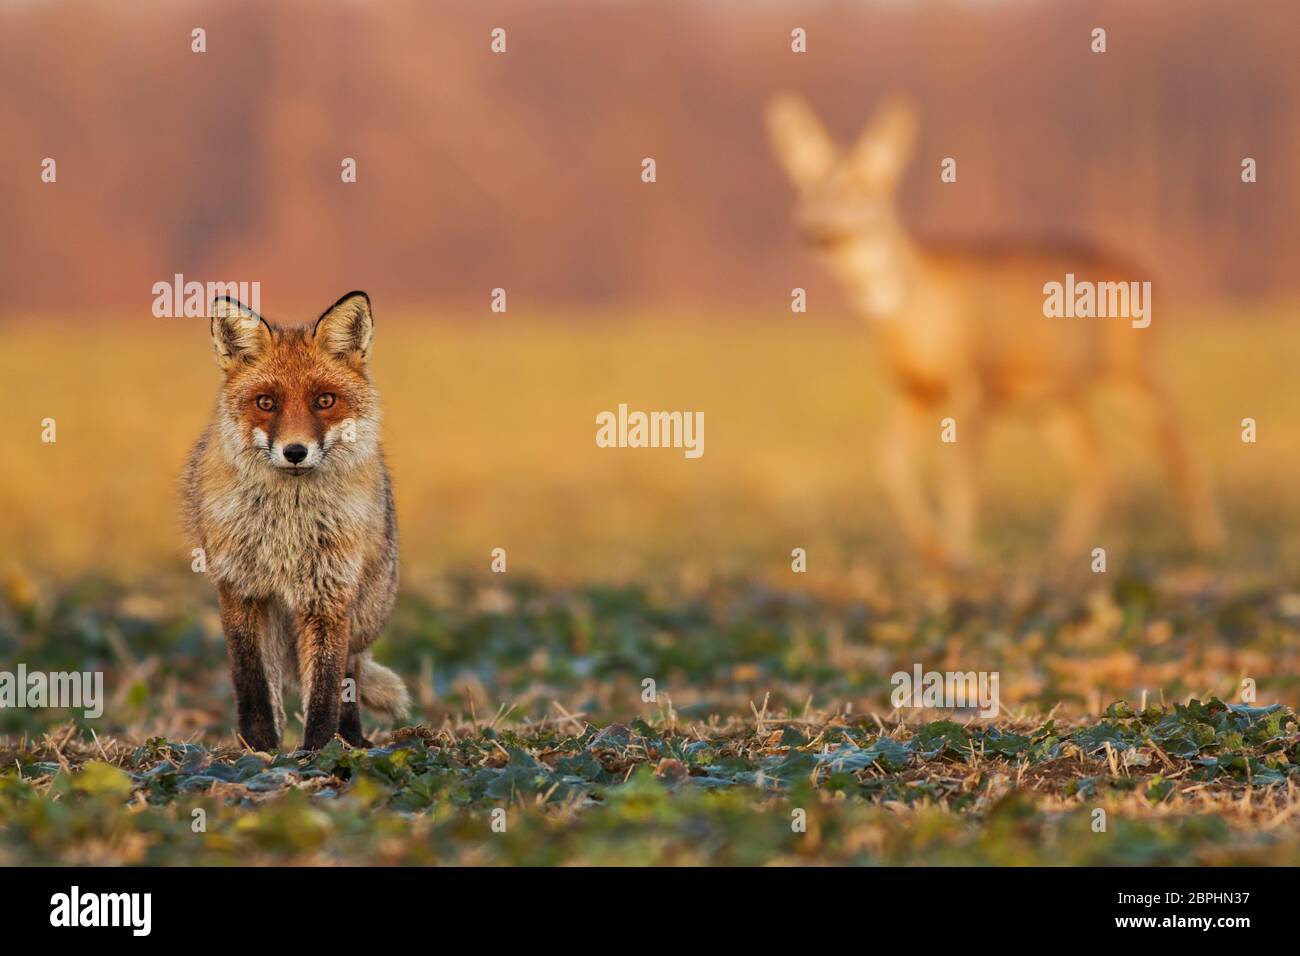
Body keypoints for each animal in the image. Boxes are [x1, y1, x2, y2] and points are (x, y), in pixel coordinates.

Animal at [183, 293, 405, 754]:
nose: (296, 451)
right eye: (267, 403)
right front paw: (260, 748)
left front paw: (317, 753)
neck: (288, 526)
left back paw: (352, 742)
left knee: (351, 672)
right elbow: (251, 681)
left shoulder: (329, 595)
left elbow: (324, 687)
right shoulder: (241, 589)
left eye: (324, 400)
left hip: (363, 611)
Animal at [764, 92, 1222, 564]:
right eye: (807, 188)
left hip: (1134, 368)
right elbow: (888, 461)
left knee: (1180, 453)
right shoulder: (914, 389)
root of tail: (1149, 275)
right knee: (1099, 465)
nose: (815, 228)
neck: (913, 308)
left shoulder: (974, 377)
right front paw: (930, 548)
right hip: (1053, 399)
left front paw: (958, 553)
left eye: (865, 188)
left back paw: (1210, 544)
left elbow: (959, 476)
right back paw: (1062, 552)